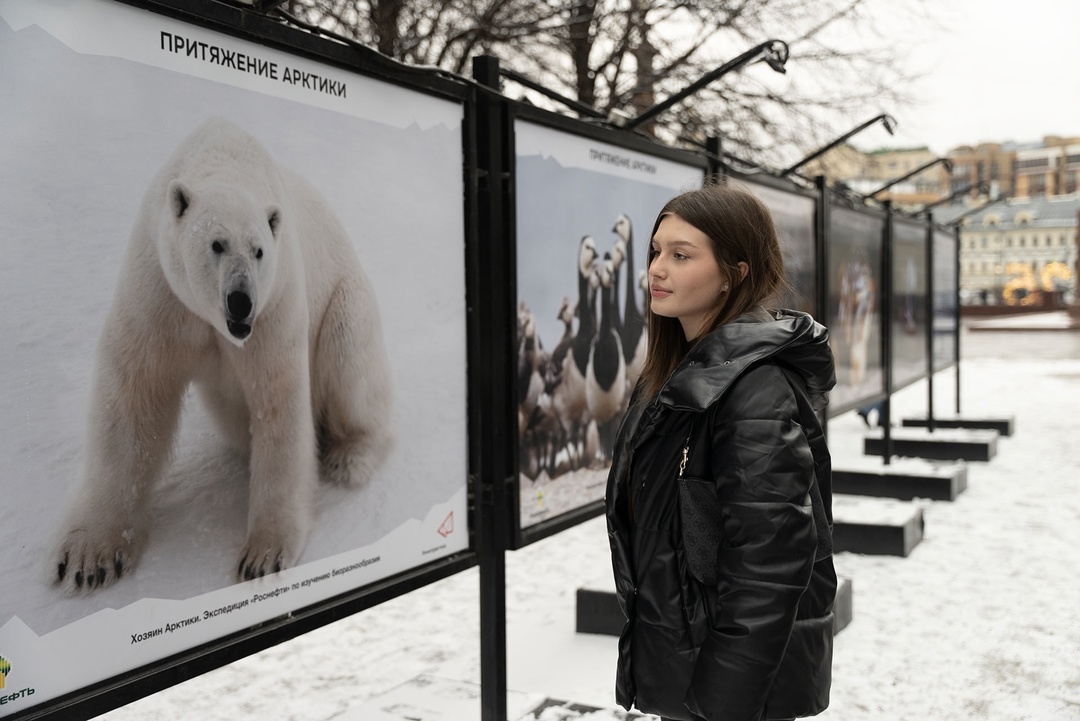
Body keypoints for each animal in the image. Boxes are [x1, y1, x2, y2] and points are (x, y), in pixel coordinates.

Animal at [50, 117, 395, 591]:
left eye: (259, 250)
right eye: (216, 244)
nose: (240, 301)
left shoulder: (276, 306)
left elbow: (279, 404)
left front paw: (262, 556)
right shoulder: (159, 290)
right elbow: (135, 394)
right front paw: (89, 557)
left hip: (347, 301)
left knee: (349, 365)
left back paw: (348, 457)